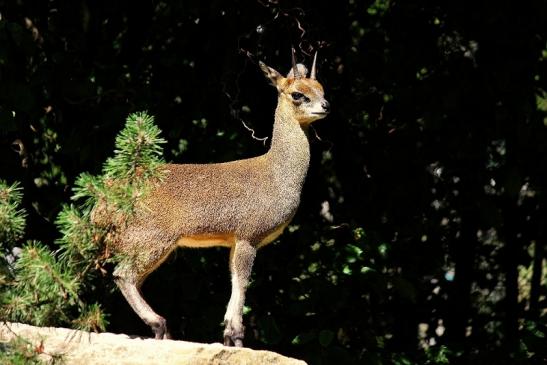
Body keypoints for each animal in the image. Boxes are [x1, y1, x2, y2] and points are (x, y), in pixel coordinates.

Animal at [93, 49, 330, 346]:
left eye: (322, 88)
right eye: (297, 94)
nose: (325, 106)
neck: (276, 175)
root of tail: (100, 205)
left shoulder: (233, 241)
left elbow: (233, 280)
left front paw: (228, 335)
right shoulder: (248, 236)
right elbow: (242, 281)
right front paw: (237, 336)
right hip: (151, 239)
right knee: (123, 275)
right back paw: (159, 325)